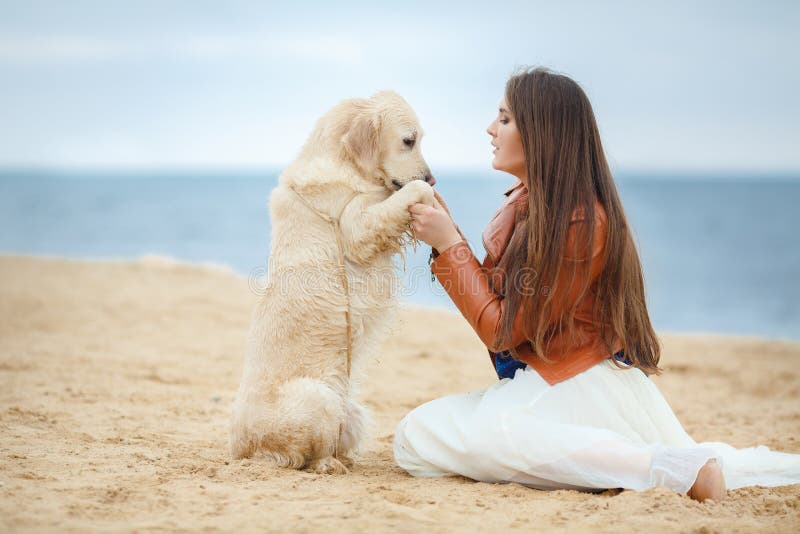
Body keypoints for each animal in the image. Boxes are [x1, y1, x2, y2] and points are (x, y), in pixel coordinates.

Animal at [225, 90, 438, 476]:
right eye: (408, 140)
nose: (432, 179)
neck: (343, 161)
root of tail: (238, 446)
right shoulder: (356, 225)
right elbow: (403, 195)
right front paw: (424, 195)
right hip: (320, 397)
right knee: (298, 457)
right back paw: (328, 464)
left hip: (350, 410)